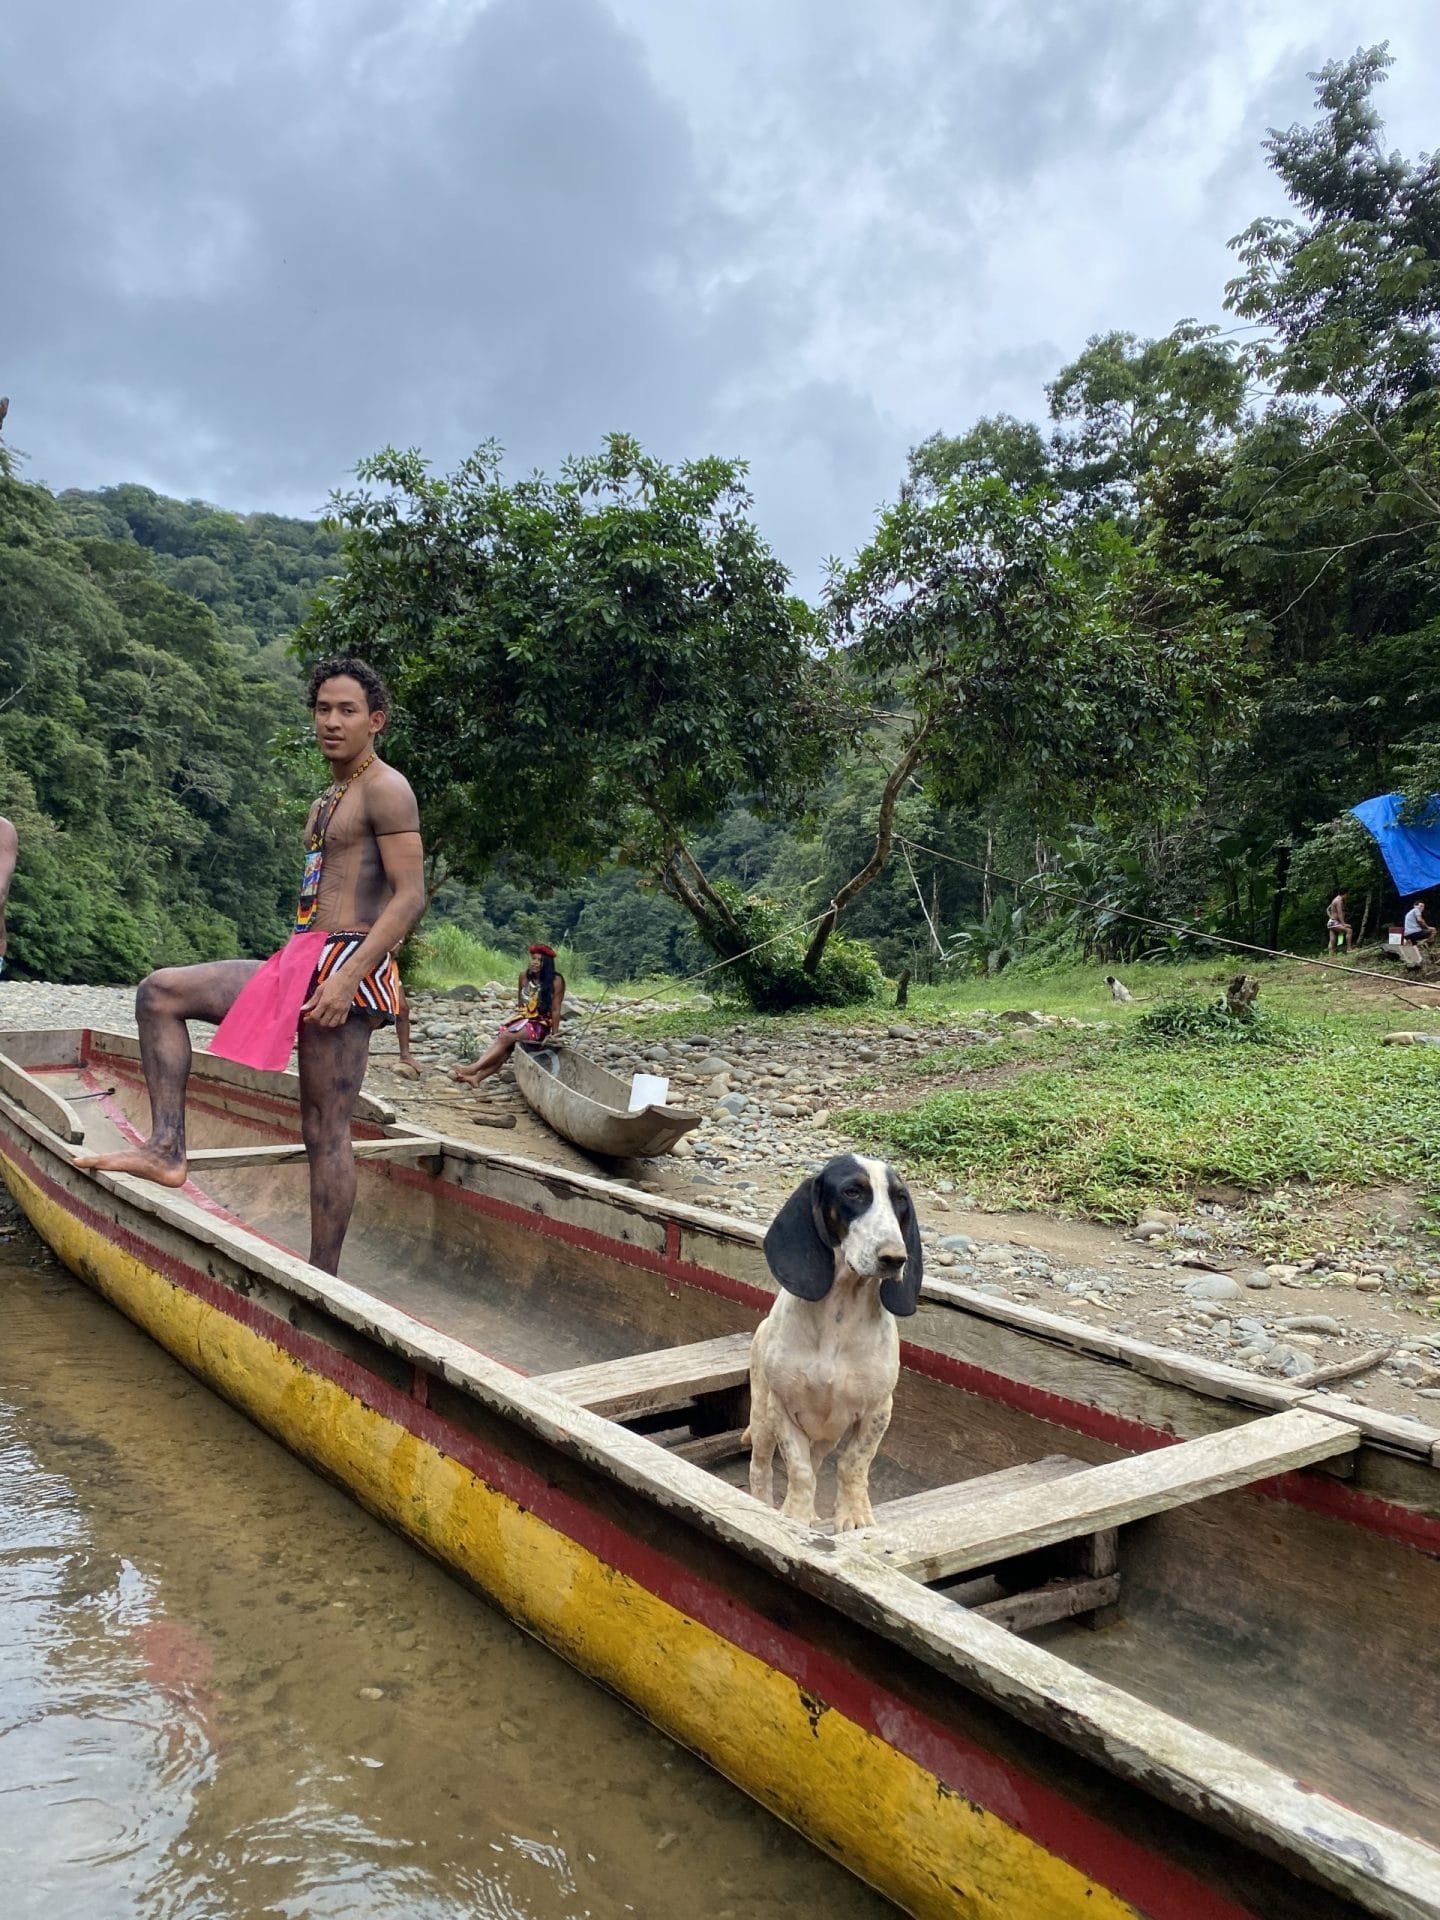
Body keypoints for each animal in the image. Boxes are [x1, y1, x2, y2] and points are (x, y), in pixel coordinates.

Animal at [756, 1152, 925, 1528]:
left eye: (900, 1199)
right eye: (853, 1192)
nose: (895, 1258)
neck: (839, 1313)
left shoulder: (878, 1411)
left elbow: (853, 1464)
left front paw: (854, 1515)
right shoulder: (781, 1407)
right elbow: (800, 1470)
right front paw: (795, 1516)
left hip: (825, 1437)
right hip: (760, 1417)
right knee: (760, 1466)